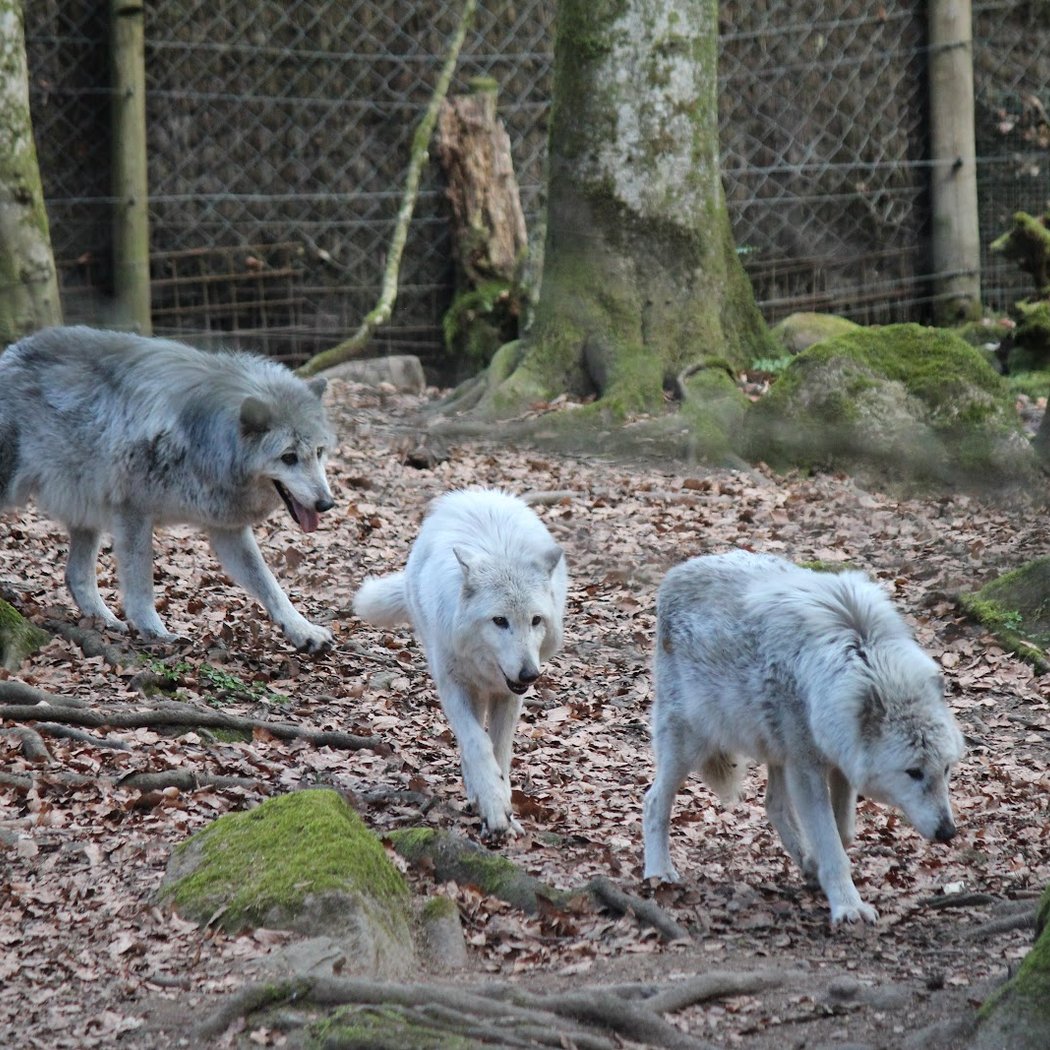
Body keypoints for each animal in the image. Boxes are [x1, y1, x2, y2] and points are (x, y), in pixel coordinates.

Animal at [0, 326, 336, 651]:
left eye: (319, 452)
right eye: (288, 457)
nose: (326, 503)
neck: (207, 438)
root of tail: (10, 352)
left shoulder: (227, 529)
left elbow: (270, 585)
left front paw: (303, 630)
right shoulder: (133, 512)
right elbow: (141, 585)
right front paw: (155, 632)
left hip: (86, 509)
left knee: (75, 575)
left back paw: (105, 621)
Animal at [353, 488, 567, 837]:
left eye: (536, 620)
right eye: (499, 621)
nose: (529, 674)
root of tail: (474, 493)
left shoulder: (508, 695)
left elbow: (499, 751)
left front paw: (504, 807)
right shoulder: (453, 685)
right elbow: (477, 744)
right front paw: (493, 806)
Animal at [642, 550, 965, 925]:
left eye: (945, 770)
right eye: (913, 772)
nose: (947, 832)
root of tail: (676, 572)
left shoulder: (840, 760)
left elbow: (842, 833)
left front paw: (816, 865)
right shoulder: (807, 768)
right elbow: (832, 843)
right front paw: (848, 907)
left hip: (776, 750)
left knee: (773, 804)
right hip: (690, 745)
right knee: (653, 801)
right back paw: (659, 873)